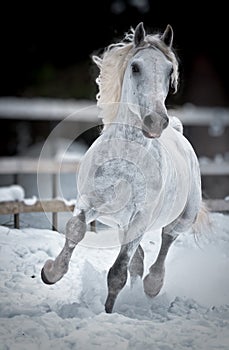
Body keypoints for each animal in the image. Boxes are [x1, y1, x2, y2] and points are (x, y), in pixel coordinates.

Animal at [40, 23, 208, 314]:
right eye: (136, 67)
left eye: (170, 71)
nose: (155, 121)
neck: (124, 161)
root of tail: (177, 131)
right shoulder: (89, 201)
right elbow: (76, 230)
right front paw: (50, 272)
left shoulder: (140, 218)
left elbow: (118, 271)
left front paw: (107, 312)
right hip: (121, 224)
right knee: (139, 259)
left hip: (181, 217)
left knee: (166, 240)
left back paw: (152, 286)